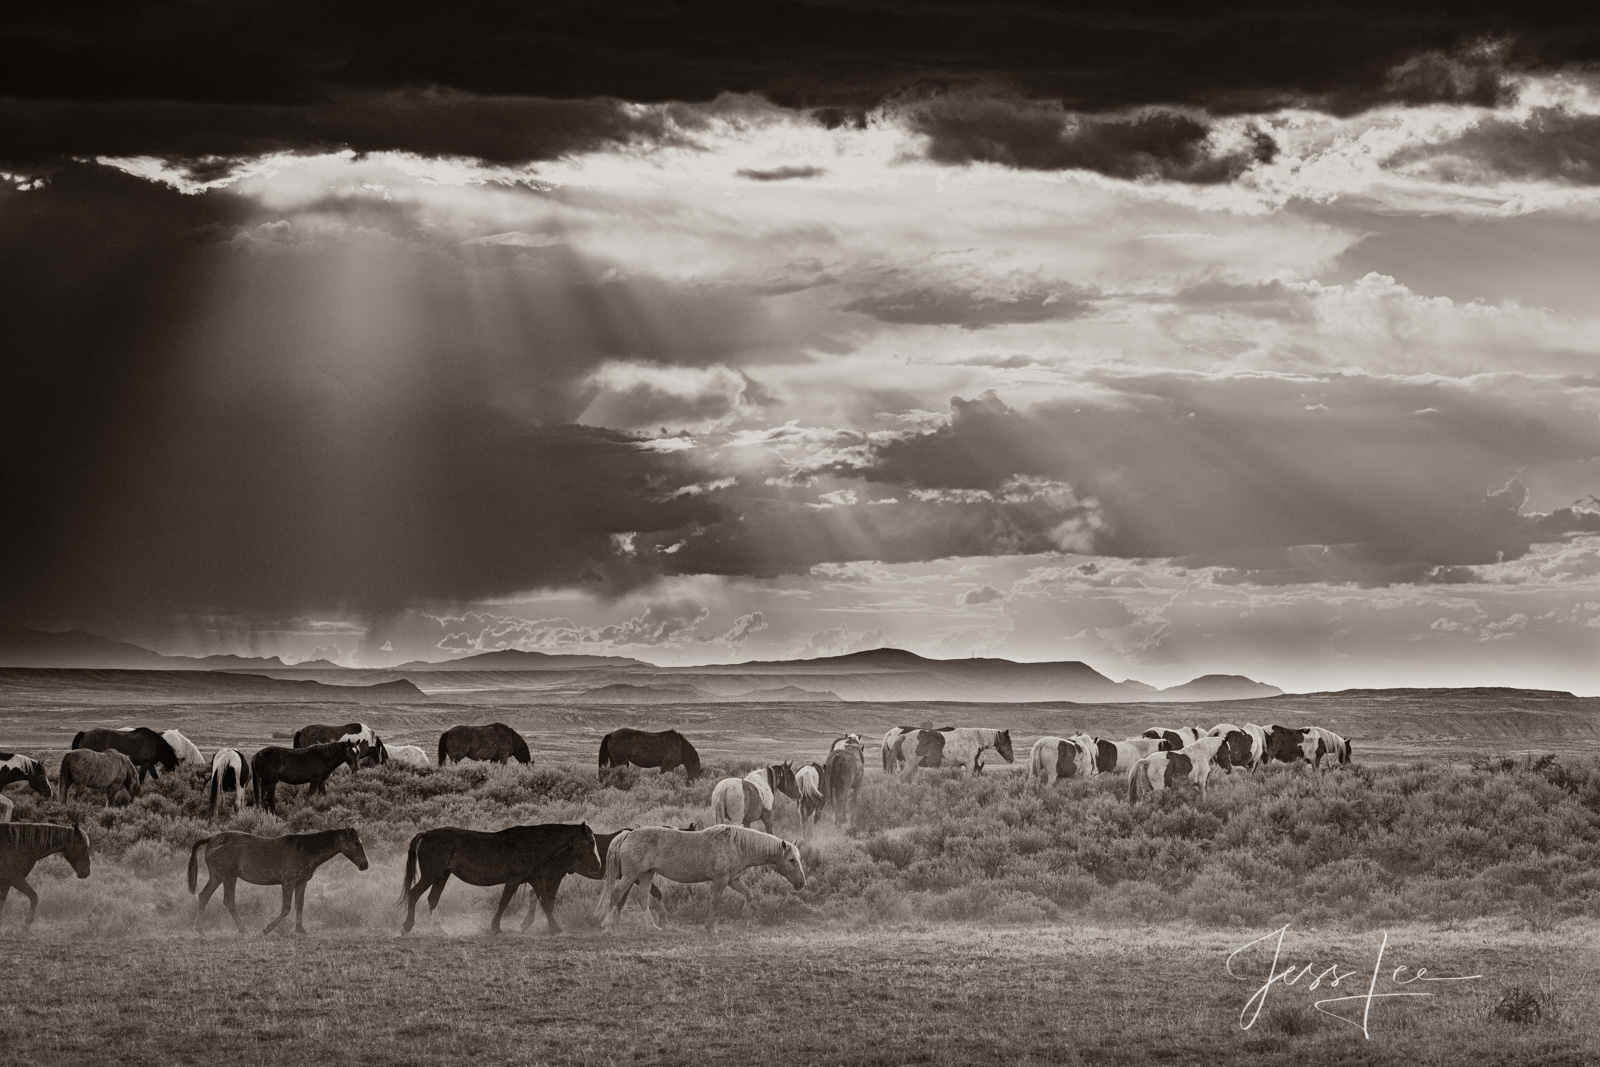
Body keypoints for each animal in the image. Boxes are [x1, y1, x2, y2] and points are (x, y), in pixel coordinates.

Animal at [188, 825, 369, 934]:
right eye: (356, 843)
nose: (365, 865)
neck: (305, 849)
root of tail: (211, 839)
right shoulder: (288, 882)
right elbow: (286, 908)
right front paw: (267, 929)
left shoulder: (301, 882)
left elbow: (299, 905)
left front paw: (300, 929)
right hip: (229, 877)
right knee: (228, 901)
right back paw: (243, 929)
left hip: (217, 877)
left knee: (204, 896)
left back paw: (200, 929)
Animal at [396, 825, 601, 934]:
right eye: (590, 842)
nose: (598, 865)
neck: (533, 844)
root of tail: (426, 834)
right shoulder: (514, 880)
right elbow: (503, 903)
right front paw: (495, 928)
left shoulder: (535, 879)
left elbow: (545, 902)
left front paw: (555, 928)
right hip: (431, 875)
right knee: (414, 894)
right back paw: (407, 927)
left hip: (441, 876)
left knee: (433, 899)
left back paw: (440, 930)